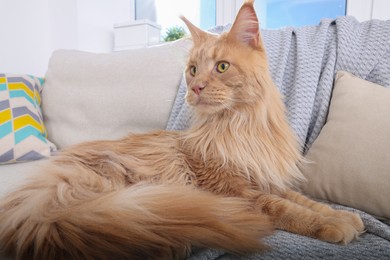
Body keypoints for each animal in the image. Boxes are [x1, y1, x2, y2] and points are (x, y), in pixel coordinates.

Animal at [1, 0, 364, 260]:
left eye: (221, 67)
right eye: (192, 70)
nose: (196, 87)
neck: (239, 128)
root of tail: (32, 203)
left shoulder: (265, 180)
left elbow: (303, 200)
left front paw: (343, 216)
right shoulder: (234, 191)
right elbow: (283, 208)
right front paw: (332, 224)